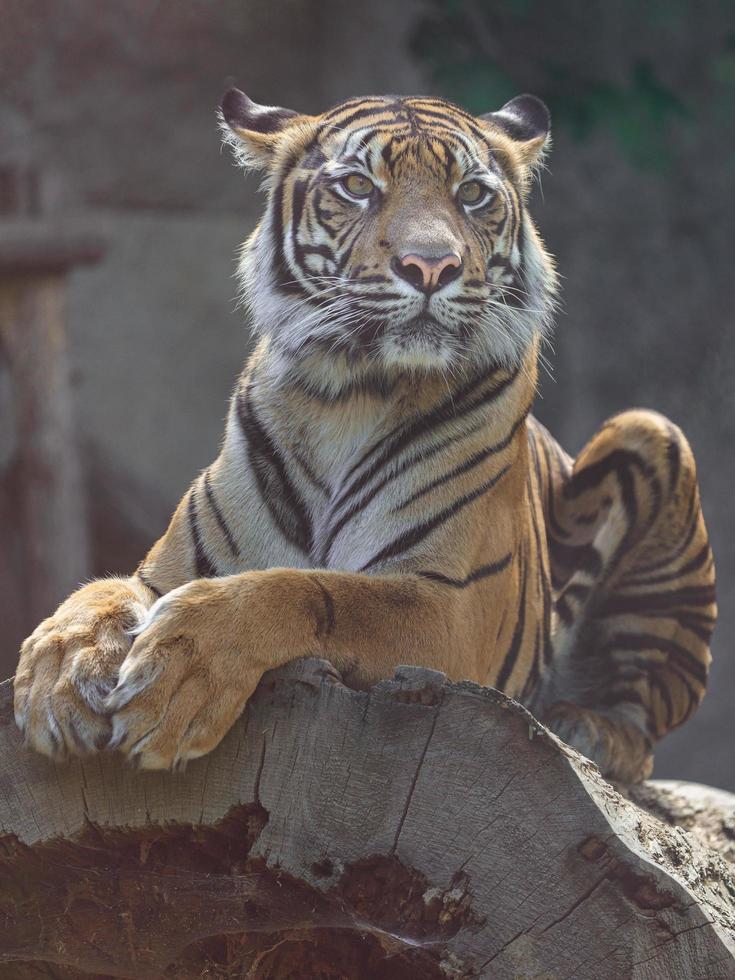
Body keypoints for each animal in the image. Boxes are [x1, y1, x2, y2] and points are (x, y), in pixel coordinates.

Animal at [11, 90, 716, 780]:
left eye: (472, 194)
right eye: (357, 186)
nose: (431, 266)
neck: (346, 394)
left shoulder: (446, 606)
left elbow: (307, 590)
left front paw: (177, 679)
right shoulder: (166, 570)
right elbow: (96, 593)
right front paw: (59, 674)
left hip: (650, 431)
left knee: (643, 726)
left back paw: (587, 729)